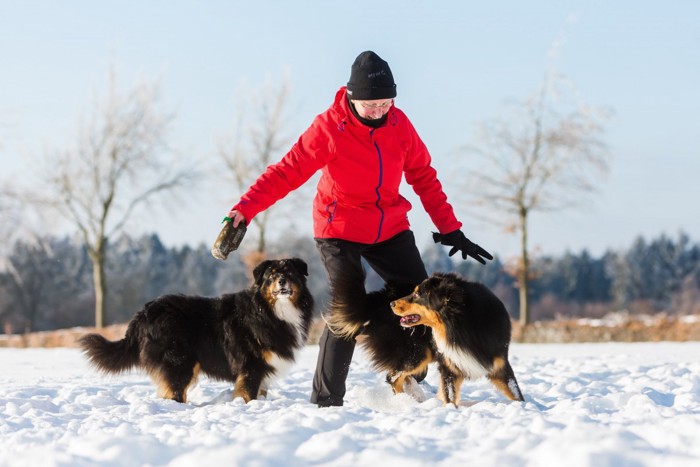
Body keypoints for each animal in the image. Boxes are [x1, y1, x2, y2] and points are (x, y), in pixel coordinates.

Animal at [78, 258, 314, 404]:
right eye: (271, 276)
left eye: (289, 272)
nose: (281, 281)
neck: (269, 310)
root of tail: (144, 312)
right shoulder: (251, 366)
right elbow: (248, 394)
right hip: (179, 362)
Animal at [392, 272, 524, 408]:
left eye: (417, 294)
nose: (391, 304)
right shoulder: (449, 366)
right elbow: (450, 396)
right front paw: (451, 409)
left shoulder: (500, 364)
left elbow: (516, 393)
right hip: (418, 355)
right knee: (394, 377)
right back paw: (403, 400)